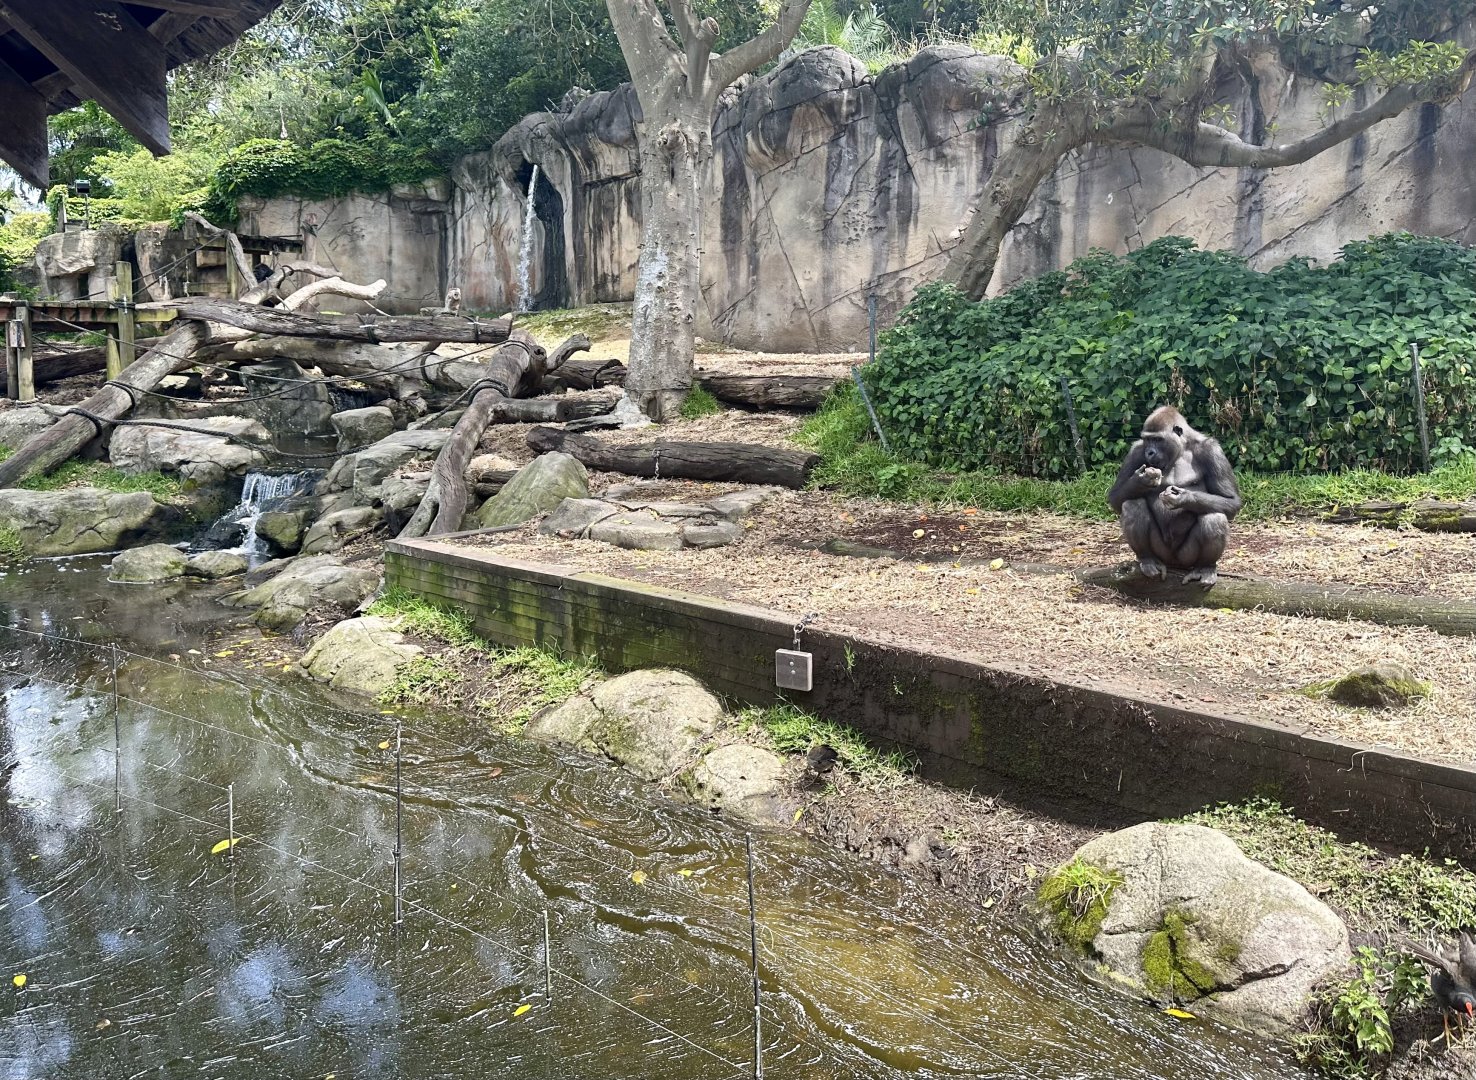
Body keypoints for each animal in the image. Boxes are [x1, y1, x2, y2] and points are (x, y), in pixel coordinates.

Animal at [1107, 406, 1242, 587]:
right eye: (1147, 440)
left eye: (1158, 439)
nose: (1149, 452)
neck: (1182, 447)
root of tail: (1175, 565)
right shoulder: (1136, 450)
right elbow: (1115, 498)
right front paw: (1141, 481)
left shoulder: (1212, 450)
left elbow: (1231, 500)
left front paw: (1184, 498)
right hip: (1162, 554)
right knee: (1132, 505)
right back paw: (1147, 559)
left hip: (1186, 558)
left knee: (1214, 517)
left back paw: (1206, 567)